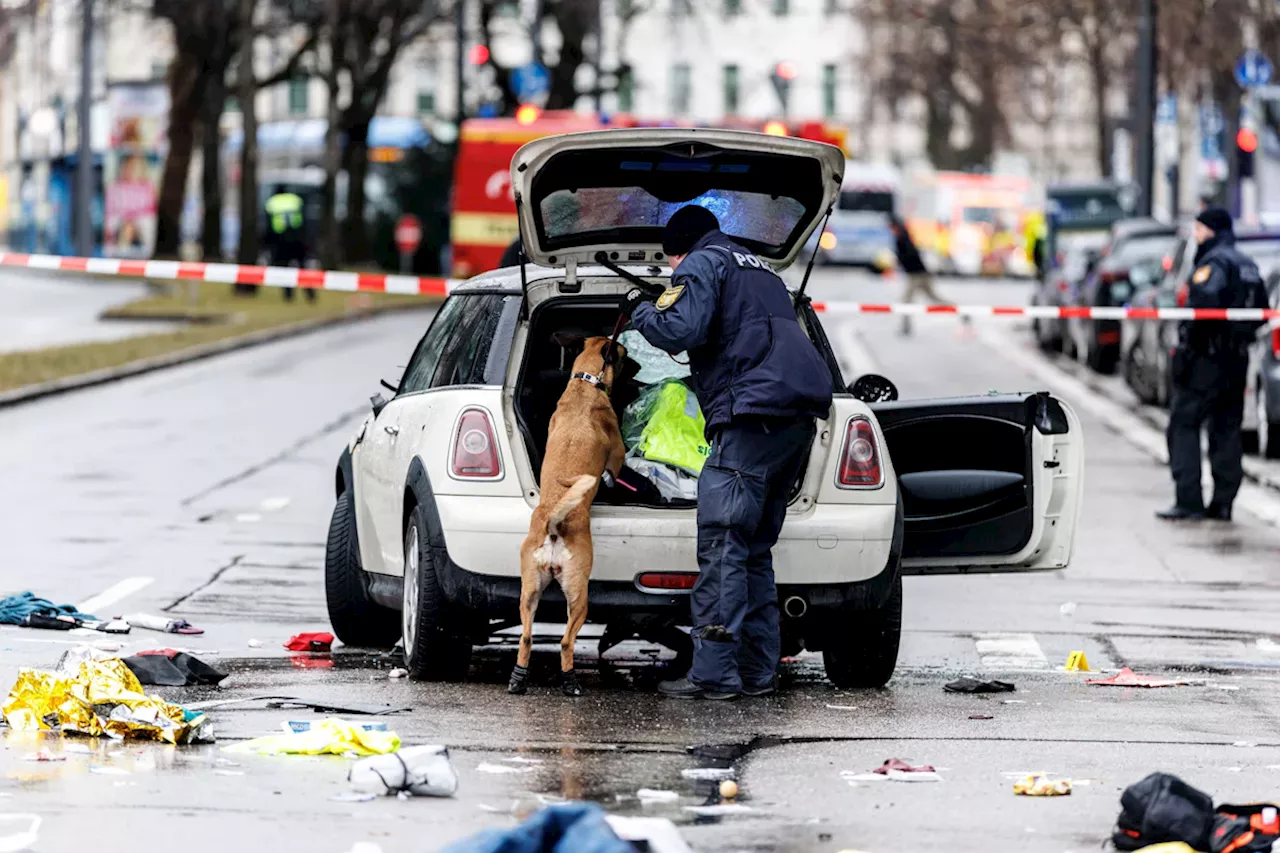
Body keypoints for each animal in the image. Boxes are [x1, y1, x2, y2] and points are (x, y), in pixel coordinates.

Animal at [509, 335, 629, 696]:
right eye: (622, 354)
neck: (585, 383)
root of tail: (554, 523)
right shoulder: (617, 453)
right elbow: (616, 463)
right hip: (579, 597)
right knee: (565, 642)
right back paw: (570, 683)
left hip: (529, 593)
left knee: (526, 637)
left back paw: (518, 679)